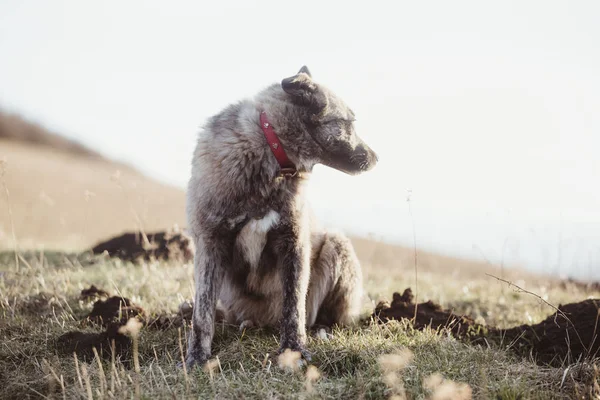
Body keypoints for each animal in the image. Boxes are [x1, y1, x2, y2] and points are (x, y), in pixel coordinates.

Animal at [185, 65, 378, 368]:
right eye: (349, 123)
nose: (376, 158)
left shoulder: (293, 243)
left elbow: (293, 306)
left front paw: (293, 350)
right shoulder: (210, 241)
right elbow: (202, 313)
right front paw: (197, 356)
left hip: (337, 245)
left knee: (325, 317)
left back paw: (322, 330)